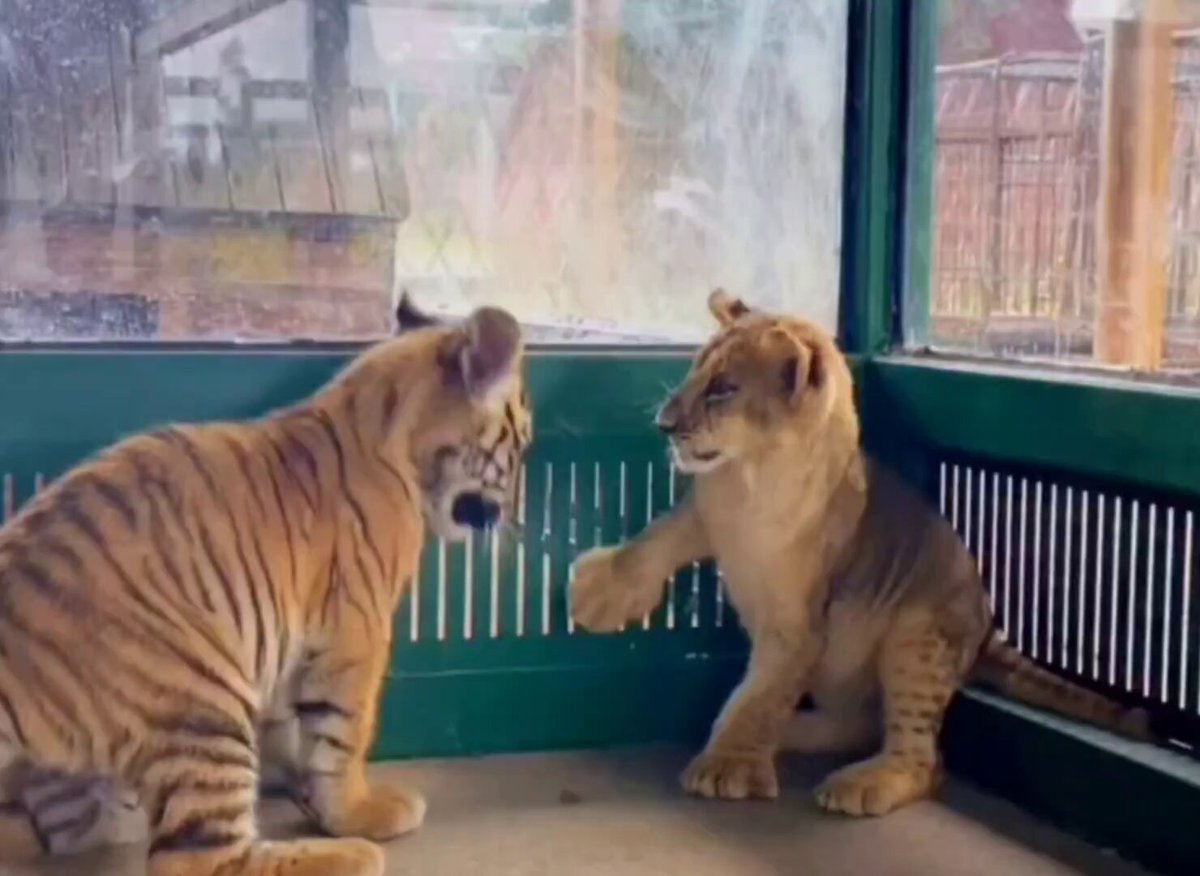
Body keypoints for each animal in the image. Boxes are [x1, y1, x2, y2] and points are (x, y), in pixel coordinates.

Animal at [0, 292, 533, 876]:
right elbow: (345, 733)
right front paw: (357, 812)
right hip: (202, 699)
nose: (513, 517)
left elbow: (296, 729)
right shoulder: (357, 630)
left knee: (70, 828)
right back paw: (350, 854)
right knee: (197, 858)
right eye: (520, 445)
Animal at [569, 289, 1153, 816]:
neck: (750, 480)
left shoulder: (798, 626)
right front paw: (597, 594)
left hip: (918, 641)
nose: (664, 424)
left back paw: (857, 783)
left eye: (724, 388)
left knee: (923, 758)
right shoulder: (705, 512)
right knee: (860, 724)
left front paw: (727, 766)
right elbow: (655, 541)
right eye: (695, 373)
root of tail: (988, 628)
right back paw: (790, 732)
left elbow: (763, 695)